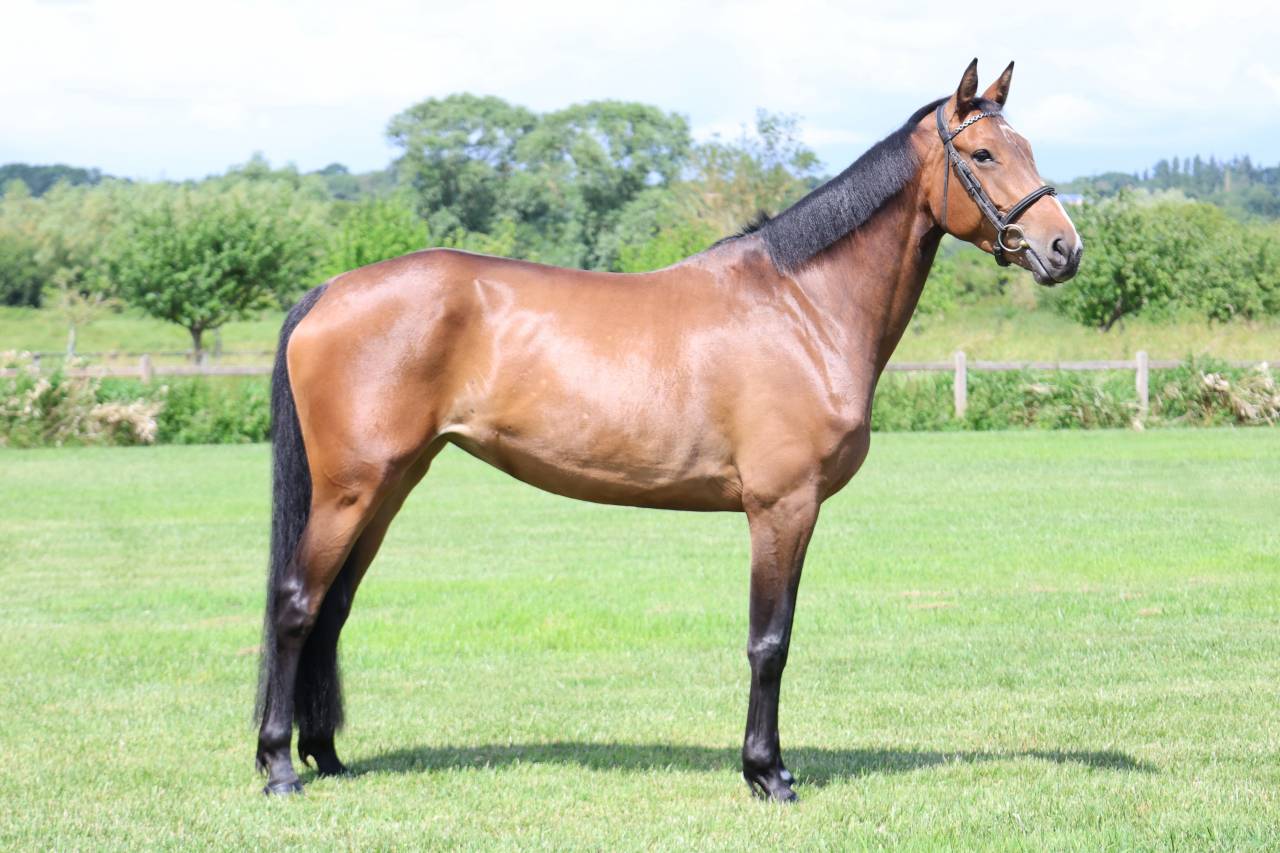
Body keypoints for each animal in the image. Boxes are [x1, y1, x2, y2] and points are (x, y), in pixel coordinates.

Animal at [254, 58, 1082, 802]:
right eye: (983, 154)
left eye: (1028, 148)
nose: (1064, 248)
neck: (803, 306)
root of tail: (330, 291)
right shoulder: (782, 506)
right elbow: (770, 642)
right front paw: (767, 773)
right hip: (351, 490)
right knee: (295, 605)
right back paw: (280, 767)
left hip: (389, 486)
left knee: (331, 610)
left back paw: (327, 755)